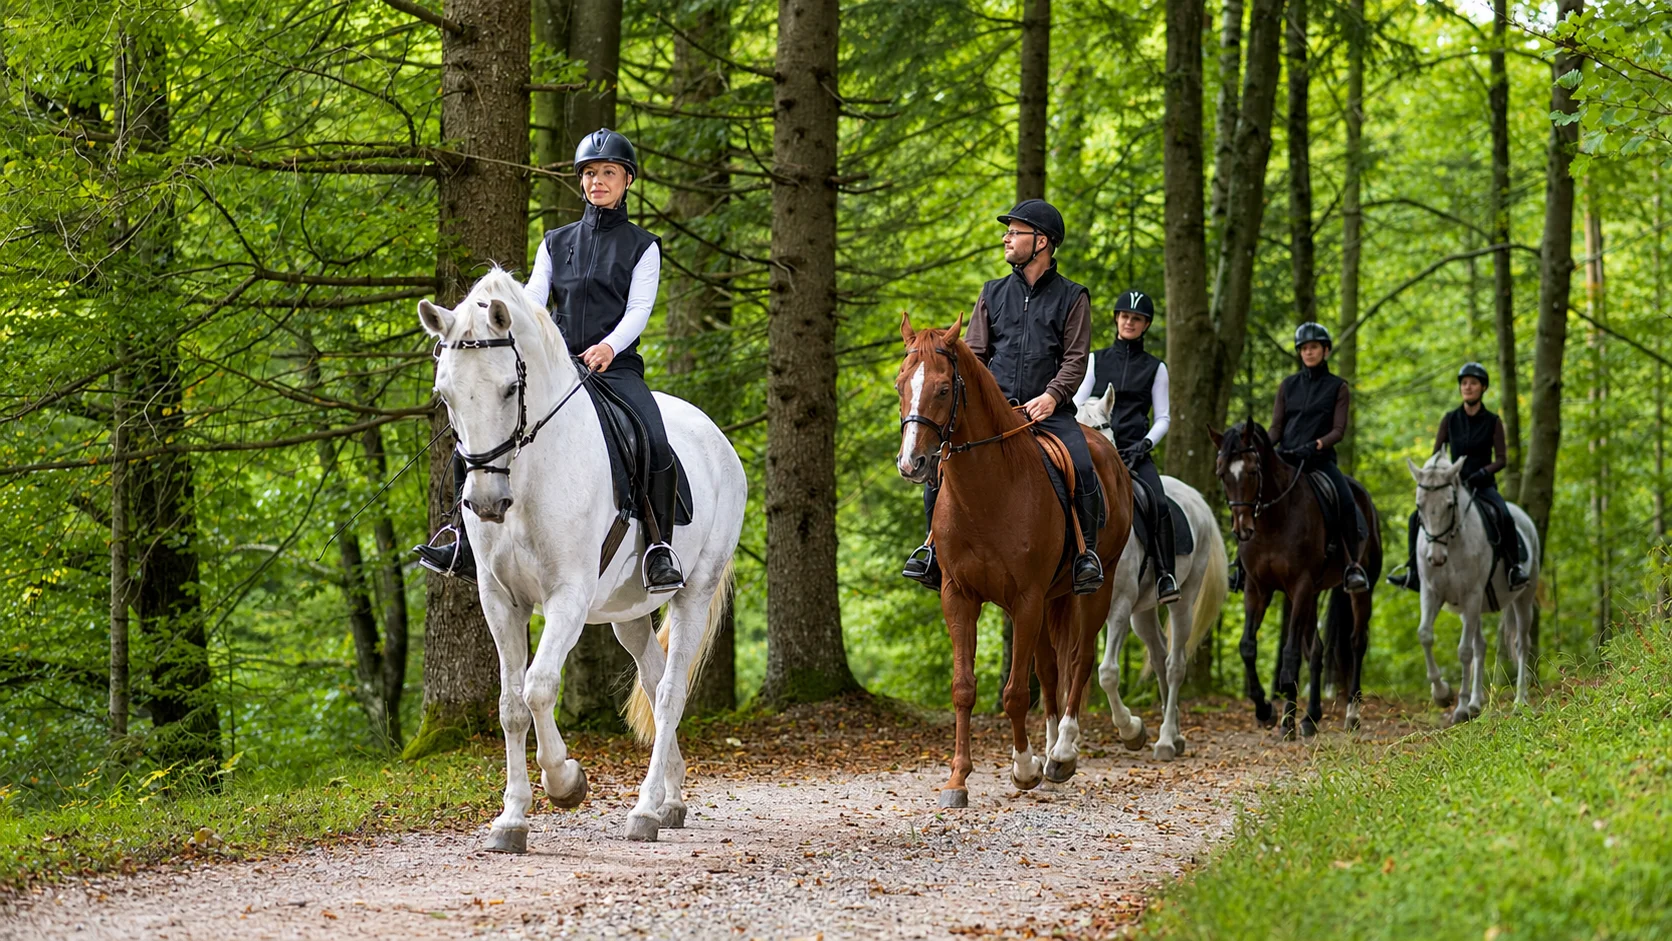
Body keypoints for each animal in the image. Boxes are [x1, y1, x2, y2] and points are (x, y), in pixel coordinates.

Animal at [416, 268, 747, 851]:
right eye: (445, 393)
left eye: (510, 388)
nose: (485, 503)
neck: (528, 473)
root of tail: (717, 438)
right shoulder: (500, 600)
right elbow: (510, 705)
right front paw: (511, 820)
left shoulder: (566, 596)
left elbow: (539, 687)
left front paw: (565, 781)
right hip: (627, 614)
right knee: (654, 680)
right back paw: (671, 799)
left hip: (694, 592)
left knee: (669, 692)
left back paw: (644, 810)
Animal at [895, 313, 1132, 808]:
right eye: (900, 384)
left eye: (943, 389)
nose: (912, 464)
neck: (987, 490)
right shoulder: (959, 596)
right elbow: (965, 688)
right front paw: (957, 780)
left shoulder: (1026, 600)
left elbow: (1016, 693)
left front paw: (1024, 768)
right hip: (1052, 601)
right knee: (1051, 668)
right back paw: (1050, 749)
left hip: (1094, 590)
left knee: (1079, 661)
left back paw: (1061, 753)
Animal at [1077, 389, 1228, 761]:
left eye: (1102, 428)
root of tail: (1197, 500)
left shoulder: (1118, 606)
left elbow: (1107, 673)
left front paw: (1131, 730)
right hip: (1142, 613)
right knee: (1159, 656)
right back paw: (1175, 734)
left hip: (1181, 601)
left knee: (1174, 664)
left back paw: (1164, 740)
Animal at [1210, 421, 1380, 738]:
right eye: (1221, 473)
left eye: (1253, 470)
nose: (1242, 529)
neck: (1273, 520)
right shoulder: (1258, 588)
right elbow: (1248, 647)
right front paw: (1266, 710)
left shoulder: (1299, 585)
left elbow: (1290, 653)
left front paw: (1281, 709)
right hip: (1311, 595)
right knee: (1316, 650)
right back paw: (1309, 717)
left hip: (1360, 590)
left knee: (1356, 642)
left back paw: (1351, 714)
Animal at [1406, 453, 1541, 722]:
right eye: (1419, 506)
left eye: (1450, 505)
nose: (1436, 558)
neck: (1453, 542)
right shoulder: (1431, 593)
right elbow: (1425, 635)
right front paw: (1442, 694)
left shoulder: (1471, 595)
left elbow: (1464, 651)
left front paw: (1459, 707)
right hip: (1474, 607)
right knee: (1481, 647)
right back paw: (1476, 703)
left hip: (1521, 599)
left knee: (1521, 644)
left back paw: (1519, 701)